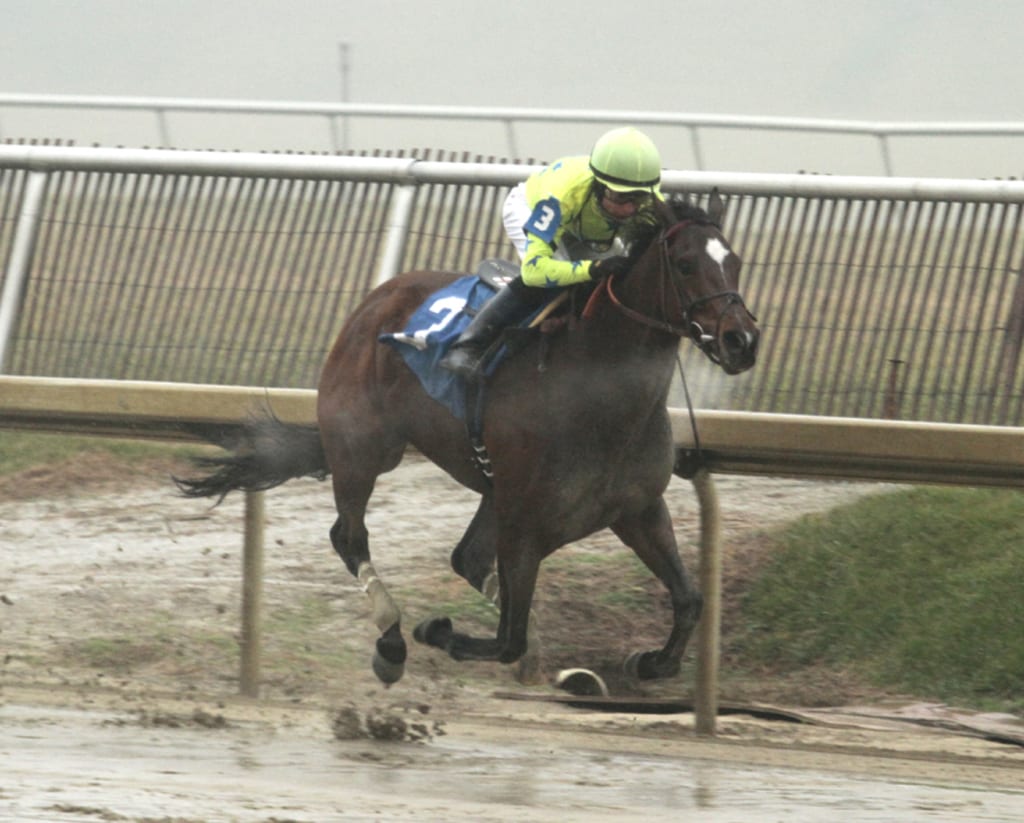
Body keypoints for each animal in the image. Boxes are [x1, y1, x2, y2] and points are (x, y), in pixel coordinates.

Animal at [180, 189, 761, 683]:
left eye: (734, 261)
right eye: (685, 264)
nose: (742, 341)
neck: (597, 391)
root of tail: (376, 299)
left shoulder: (636, 510)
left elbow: (689, 600)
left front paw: (650, 661)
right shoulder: (524, 524)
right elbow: (507, 639)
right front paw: (437, 630)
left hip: (488, 488)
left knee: (467, 559)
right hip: (363, 450)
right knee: (350, 536)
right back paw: (392, 640)